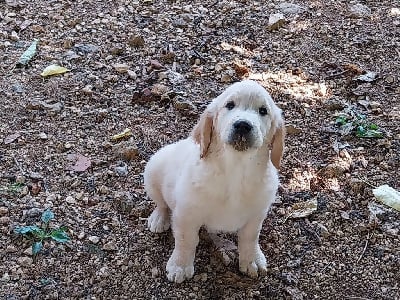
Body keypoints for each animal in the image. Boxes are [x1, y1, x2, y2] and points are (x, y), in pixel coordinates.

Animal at [144, 80, 284, 284]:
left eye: (263, 111)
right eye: (230, 105)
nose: (243, 125)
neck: (235, 169)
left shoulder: (256, 214)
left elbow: (250, 238)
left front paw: (252, 260)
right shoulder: (187, 214)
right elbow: (186, 240)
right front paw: (180, 265)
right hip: (152, 170)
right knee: (161, 203)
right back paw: (159, 218)